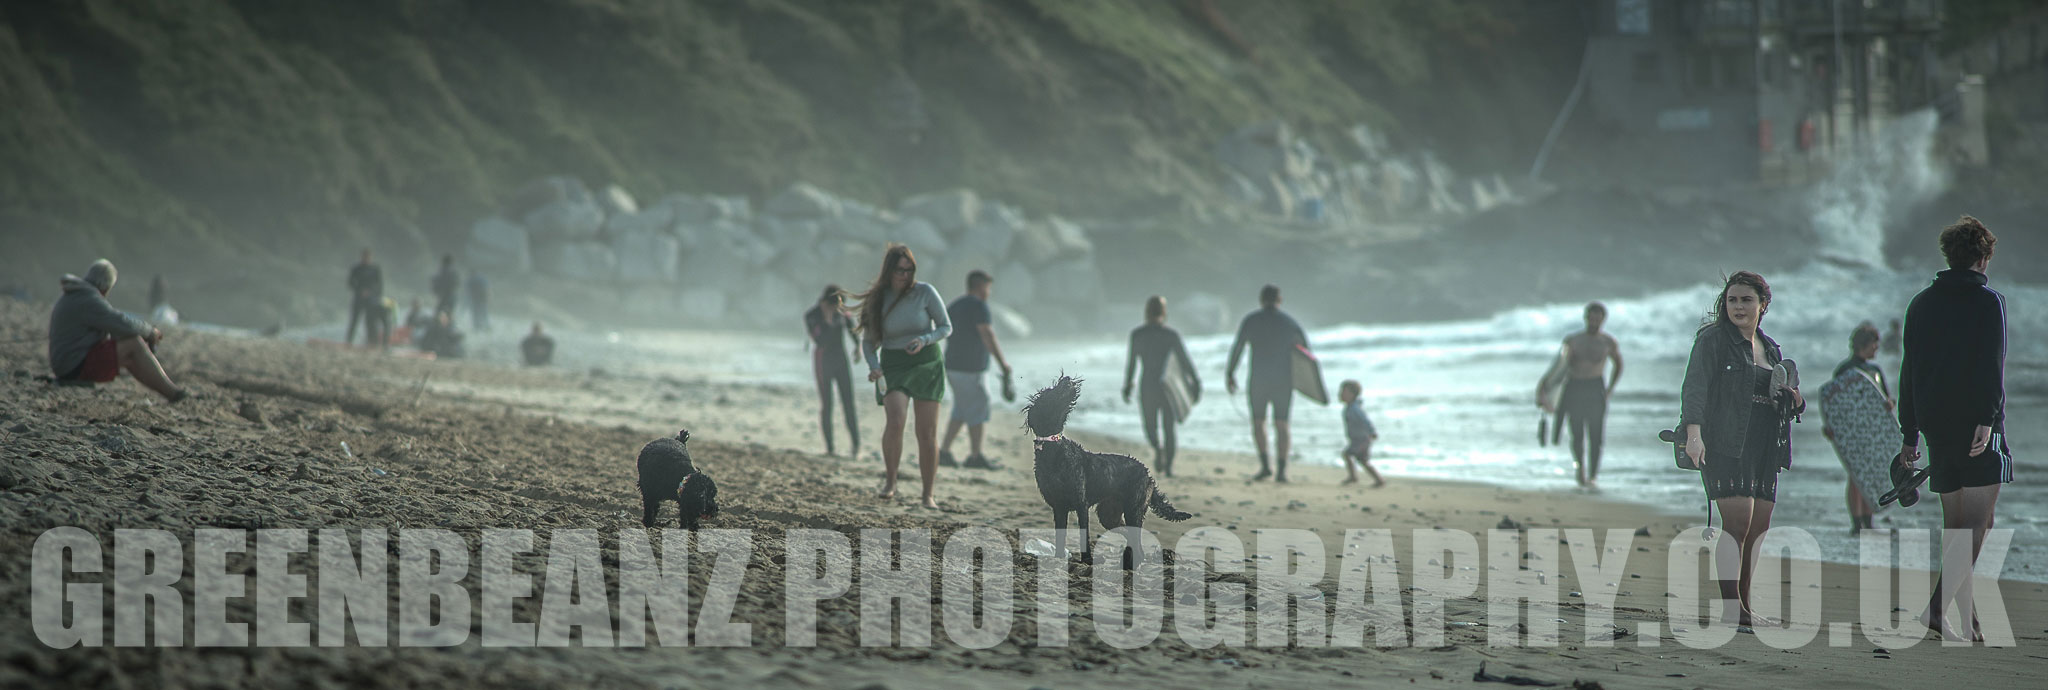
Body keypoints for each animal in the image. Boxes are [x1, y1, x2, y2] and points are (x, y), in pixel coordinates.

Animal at [1032, 376, 1196, 565]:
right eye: (1049, 392)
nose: (1066, 378)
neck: (1054, 450)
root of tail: (1148, 475)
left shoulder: (1081, 504)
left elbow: (1083, 534)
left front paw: (1087, 559)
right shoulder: (1058, 506)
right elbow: (1060, 536)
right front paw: (1058, 558)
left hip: (1133, 508)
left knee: (1135, 537)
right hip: (1110, 514)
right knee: (1129, 534)